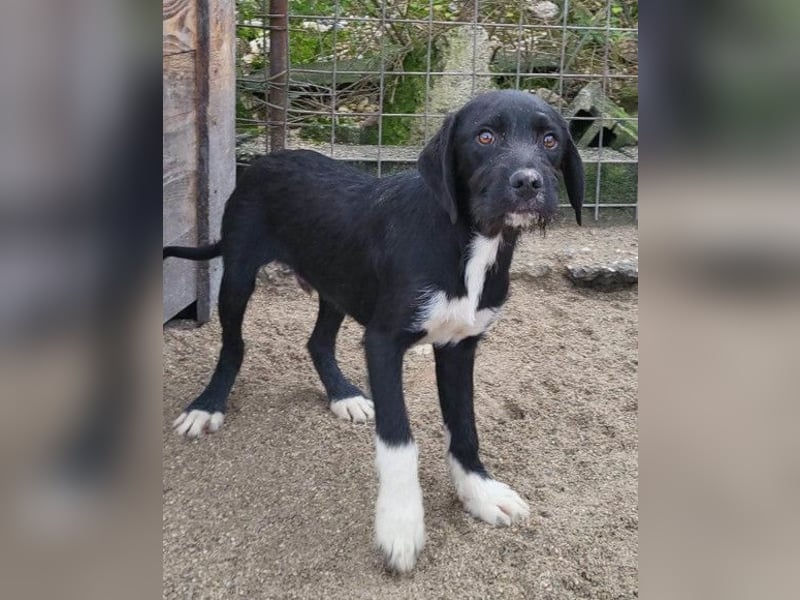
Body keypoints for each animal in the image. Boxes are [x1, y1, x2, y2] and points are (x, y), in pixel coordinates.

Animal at [163, 90, 584, 573]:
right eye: (485, 136)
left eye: (550, 140)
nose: (529, 183)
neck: (469, 243)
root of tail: (266, 159)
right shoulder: (384, 343)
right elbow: (399, 440)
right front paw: (400, 525)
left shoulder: (460, 345)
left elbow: (465, 426)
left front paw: (479, 491)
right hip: (237, 275)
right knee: (234, 345)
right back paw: (207, 404)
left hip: (335, 284)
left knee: (317, 341)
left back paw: (342, 394)